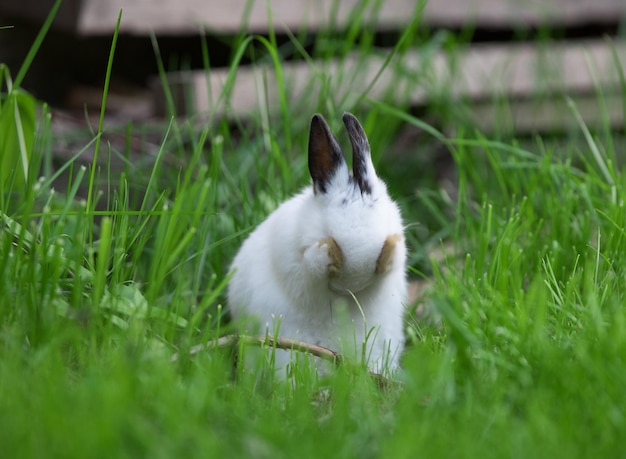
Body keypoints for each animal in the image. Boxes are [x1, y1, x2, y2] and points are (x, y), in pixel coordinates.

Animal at [227, 112, 408, 378]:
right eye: (330, 233)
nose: (352, 282)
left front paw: (390, 249)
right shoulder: (297, 265)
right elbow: (311, 266)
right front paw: (326, 253)